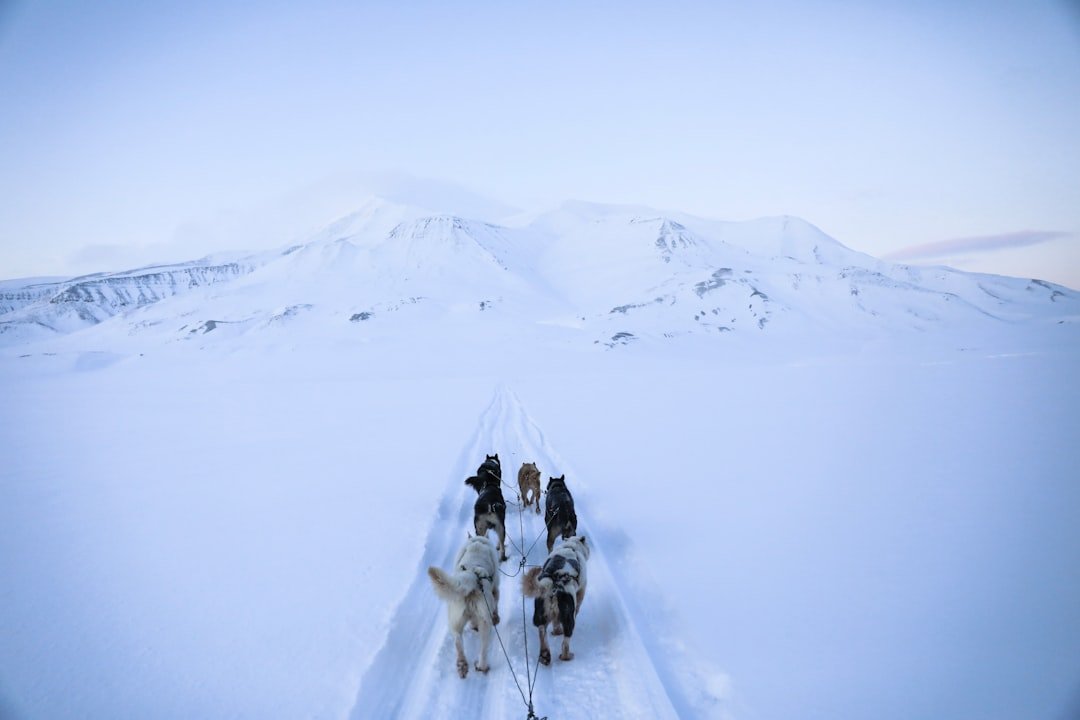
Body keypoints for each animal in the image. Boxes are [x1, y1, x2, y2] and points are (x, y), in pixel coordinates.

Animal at [425, 533, 501, 677]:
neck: (478, 542)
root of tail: (471, 575)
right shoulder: (495, 590)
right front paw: (496, 618)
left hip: (455, 620)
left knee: (458, 641)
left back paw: (462, 665)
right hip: (485, 623)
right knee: (483, 649)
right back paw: (482, 667)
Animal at [522, 535, 591, 664]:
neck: (570, 546)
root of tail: (553, 583)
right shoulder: (581, 591)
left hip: (540, 613)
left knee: (542, 631)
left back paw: (545, 655)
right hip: (568, 617)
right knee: (565, 641)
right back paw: (566, 655)